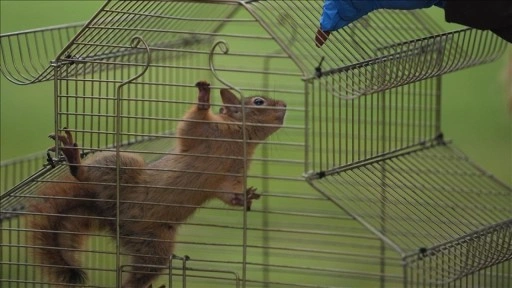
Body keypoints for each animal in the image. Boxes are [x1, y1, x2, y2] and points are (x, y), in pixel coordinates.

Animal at [27, 81, 288, 288]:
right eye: (259, 101)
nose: (285, 105)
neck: (239, 139)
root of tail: (109, 212)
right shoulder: (203, 132)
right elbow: (192, 121)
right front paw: (204, 97)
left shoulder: (231, 176)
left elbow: (229, 194)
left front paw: (246, 197)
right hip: (123, 164)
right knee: (83, 174)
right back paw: (74, 158)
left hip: (153, 245)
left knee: (141, 273)